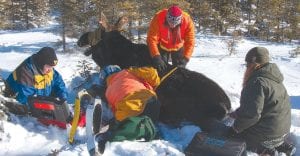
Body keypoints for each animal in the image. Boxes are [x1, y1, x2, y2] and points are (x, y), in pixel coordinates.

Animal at [77, 18, 232, 132]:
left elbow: (93, 88)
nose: (80, 39)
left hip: (192, 112)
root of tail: (227, 106)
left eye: (98, 34)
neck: (116, 55)